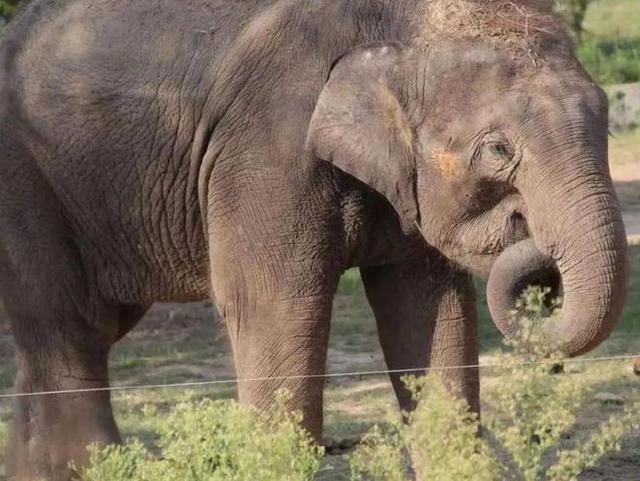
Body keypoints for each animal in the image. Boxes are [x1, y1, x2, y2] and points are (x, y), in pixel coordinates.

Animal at [0, 0, 628, 478]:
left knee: (91, 328)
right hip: (27, 180)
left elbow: (431, 311)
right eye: (498, 150)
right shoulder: (267, 148)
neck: (395, 23)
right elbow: (276, 307)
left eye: (607, 116)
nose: (534, 241)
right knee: (72, 326)